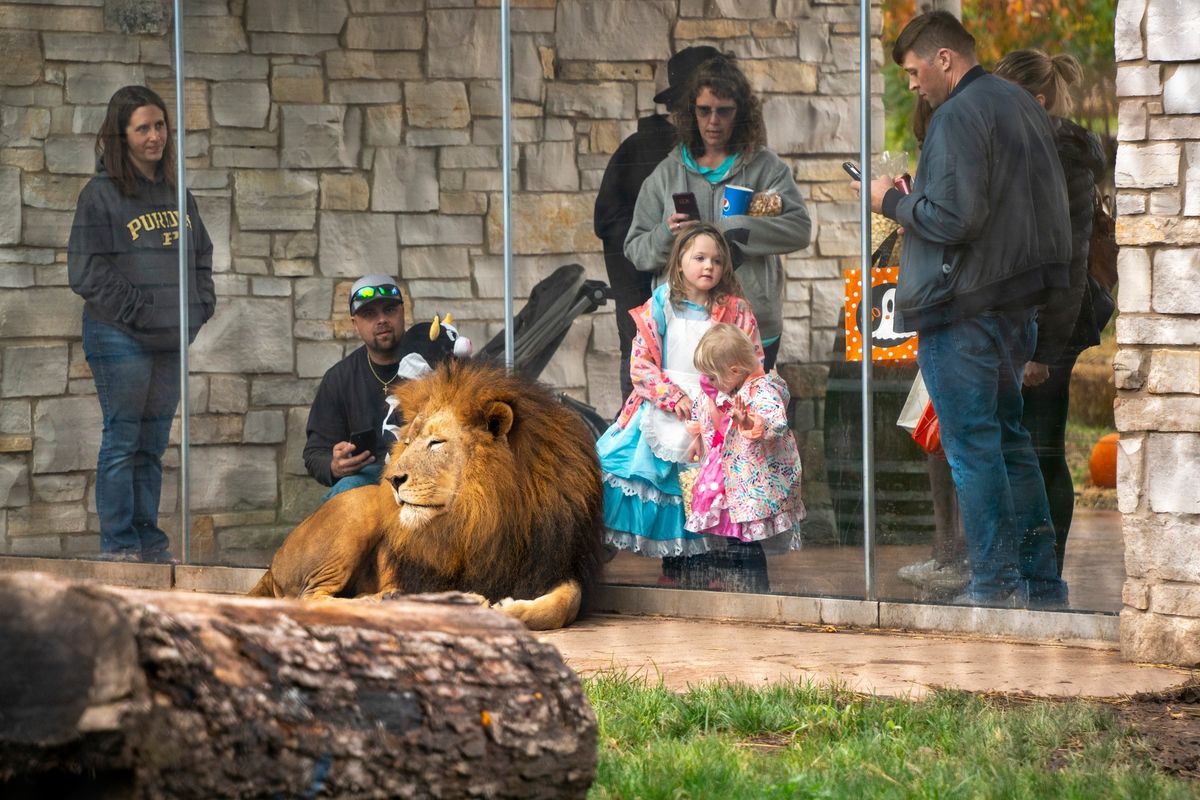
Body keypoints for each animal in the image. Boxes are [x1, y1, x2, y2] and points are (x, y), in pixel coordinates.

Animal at [254, 362, 609, 633]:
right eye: (407, 442)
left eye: (436, 443)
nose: (393, 479)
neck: (487, 512)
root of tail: (271, 564)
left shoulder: (553, 562)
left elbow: (568, 602)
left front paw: (508, 608)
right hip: (356, 510)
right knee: (309, 598)